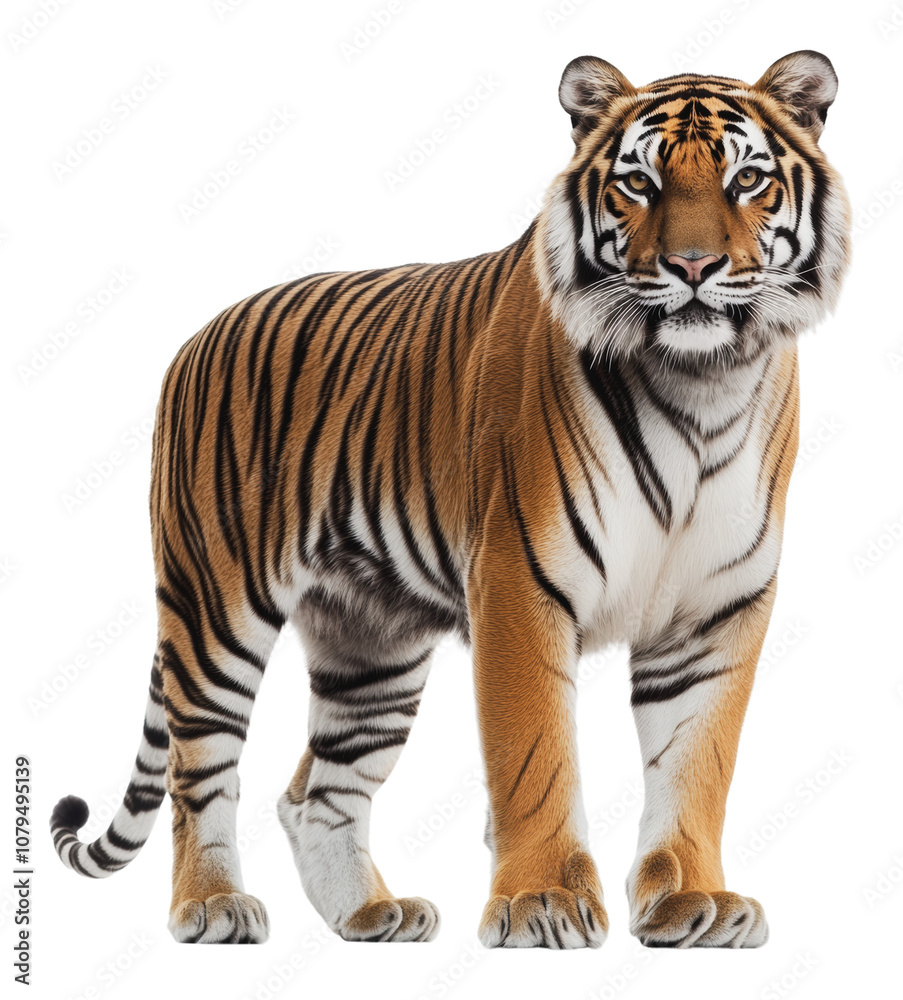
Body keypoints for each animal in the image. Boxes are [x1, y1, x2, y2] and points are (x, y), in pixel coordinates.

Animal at [51, 50, 850, 949]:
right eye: (638, 184)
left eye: (746, 179)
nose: (690, 267)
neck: (702, 383)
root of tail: (193, 339)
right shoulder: (518, 581)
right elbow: (534, 753)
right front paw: (541, 901)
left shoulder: (716, 609)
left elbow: (696, 762)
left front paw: (691, 899)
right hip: (214, 610)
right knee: (201, 773)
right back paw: (213, 905)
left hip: (372, 647)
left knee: (316, 793)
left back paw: (370, 914)